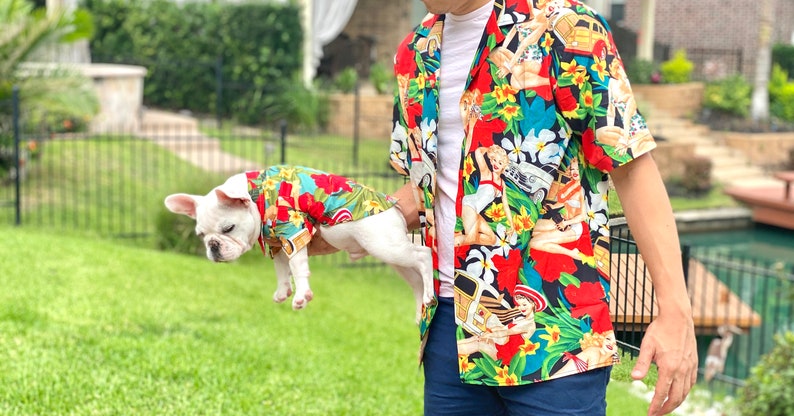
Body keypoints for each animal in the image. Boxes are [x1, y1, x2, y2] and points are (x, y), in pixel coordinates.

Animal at [163, 164, 430, 320]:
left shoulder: (294, 232)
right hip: (394, 257)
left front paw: (302, 295)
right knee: (416, 278)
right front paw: (283, 291)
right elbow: (282, 269)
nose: (214, 246)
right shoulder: (277, 243)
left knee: (424, 255)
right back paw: (421, 308)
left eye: (228, 228)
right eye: (201, 235)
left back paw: (428, 293)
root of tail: (395, 210)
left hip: (386, 246)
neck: (257, 195)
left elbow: (298, 267)